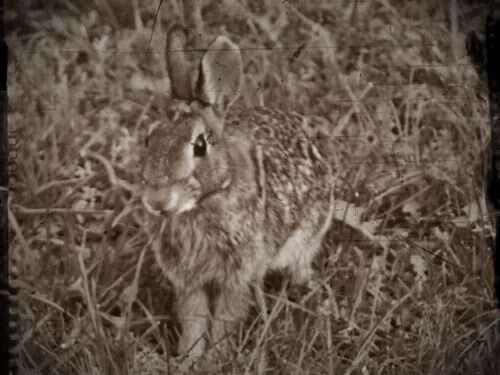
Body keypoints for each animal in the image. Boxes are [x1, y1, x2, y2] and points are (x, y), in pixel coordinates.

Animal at [141, 23, 336, 364]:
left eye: (200, 145)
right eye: (148, 139)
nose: (157, 201)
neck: (204, 202)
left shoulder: (237, 274)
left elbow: (225, 317)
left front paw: (216, 359)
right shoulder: (189, 279)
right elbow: (194, 318)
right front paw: (190, 359)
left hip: (307, 235)